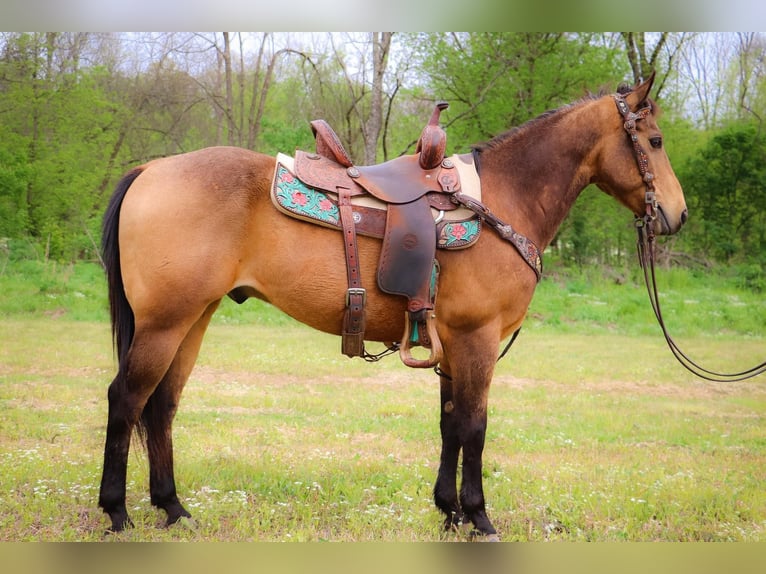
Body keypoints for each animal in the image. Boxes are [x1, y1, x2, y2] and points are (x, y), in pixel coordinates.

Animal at [97, 73, 688, 540]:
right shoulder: (477, 339)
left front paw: (449, 512)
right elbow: (474, 426)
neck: (503, 199)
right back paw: (118, 512)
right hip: (165, 323)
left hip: (192, 319)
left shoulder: (453, 344)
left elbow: (450, 424)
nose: (676, 215)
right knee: (126, 399)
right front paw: (479, 517)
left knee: (161, 405)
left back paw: (173, 508)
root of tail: (151, 169)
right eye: (655, 140)